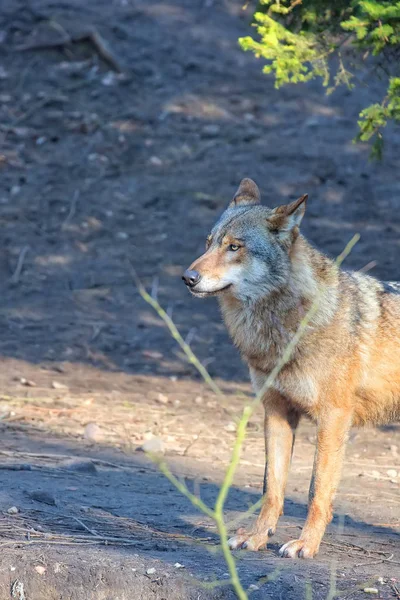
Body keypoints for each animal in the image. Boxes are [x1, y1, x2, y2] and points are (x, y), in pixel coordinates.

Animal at [182, 177, 400, 556]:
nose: (187, 276)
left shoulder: (333, 419)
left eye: (234, 247)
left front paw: (306, 545)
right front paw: (257, 536)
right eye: (209, 243)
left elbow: (316, 492)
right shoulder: (276, 412)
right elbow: (272, 487)